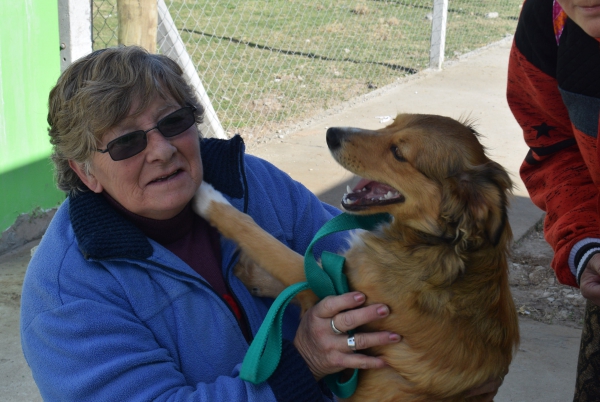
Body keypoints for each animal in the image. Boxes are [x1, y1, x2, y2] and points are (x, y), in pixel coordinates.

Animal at [195, 114, 516, 402]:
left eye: (398, 153)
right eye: (393, 122)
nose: (331, 134)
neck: (438, 243)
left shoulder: (332, 290)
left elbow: (263, 240)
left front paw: (205, 196)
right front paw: (249, 275)